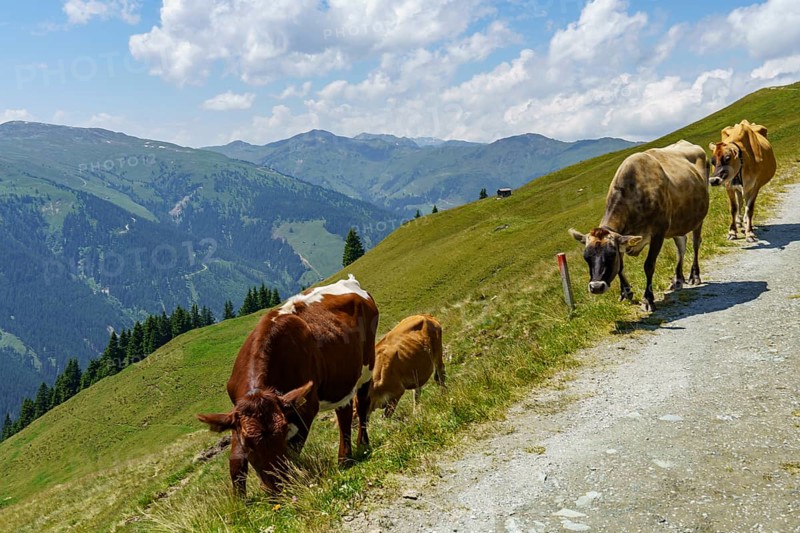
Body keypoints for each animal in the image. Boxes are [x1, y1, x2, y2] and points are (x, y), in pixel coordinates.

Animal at [196, 275, 379, 495]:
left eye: (283, 433)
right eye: (249, 443)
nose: (275, 488)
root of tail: (350, 281)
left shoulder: (306, 406)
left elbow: (293, 448)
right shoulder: (236, 417)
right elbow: (236, 465)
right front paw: (240, 501)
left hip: (367, 368)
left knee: (362, 406)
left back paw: (362, 446)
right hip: (341, 379)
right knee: (344, 412)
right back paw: (345, 459)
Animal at [569, 140, 709, 312]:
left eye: (611, 255)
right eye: (586, 257)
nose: (596, 287)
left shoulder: (658, 233)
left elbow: (649, 265)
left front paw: (648, 299)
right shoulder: (622, 238)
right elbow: (621, 267)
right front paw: (626, 292)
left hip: (698, 218)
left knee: (695, 244)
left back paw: (694, 276)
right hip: (678, 222)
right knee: (681, 247)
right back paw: (677, 279)